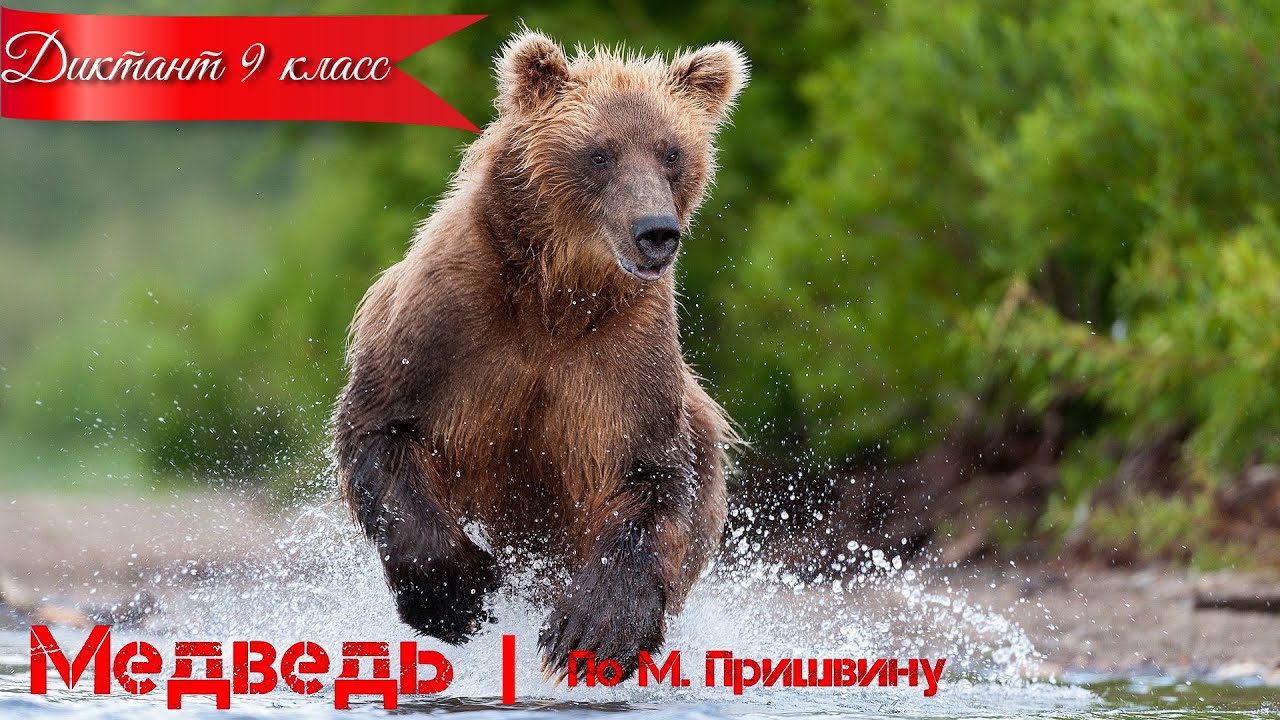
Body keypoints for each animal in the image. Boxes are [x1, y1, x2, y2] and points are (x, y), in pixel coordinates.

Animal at [334, 29, 748, 681]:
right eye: (600, 153)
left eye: (672, 153)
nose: (656, 231)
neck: (555, 299)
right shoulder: (447, 326)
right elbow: (383, 430)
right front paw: (459, 595)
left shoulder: (624, 361)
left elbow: (652, 480)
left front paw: (592, 634)